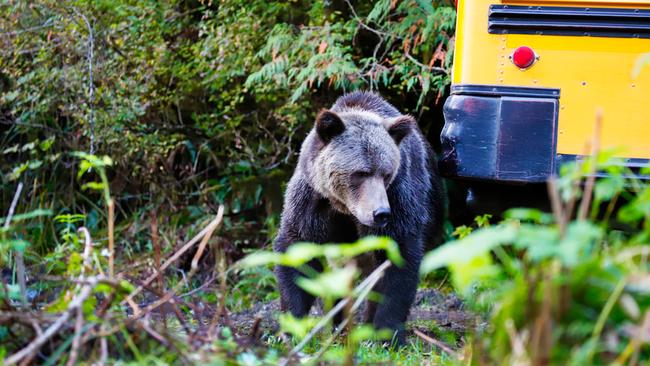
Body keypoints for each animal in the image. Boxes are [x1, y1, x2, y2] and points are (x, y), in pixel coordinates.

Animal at [270, 91, 442, 346]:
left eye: (386, 173)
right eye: (360, 173)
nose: (380, 213)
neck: (344, 208)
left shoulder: (400, 197)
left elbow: (398, 260)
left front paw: (385, 335)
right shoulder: (312, 200)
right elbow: (297, 252)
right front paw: (288, 331)